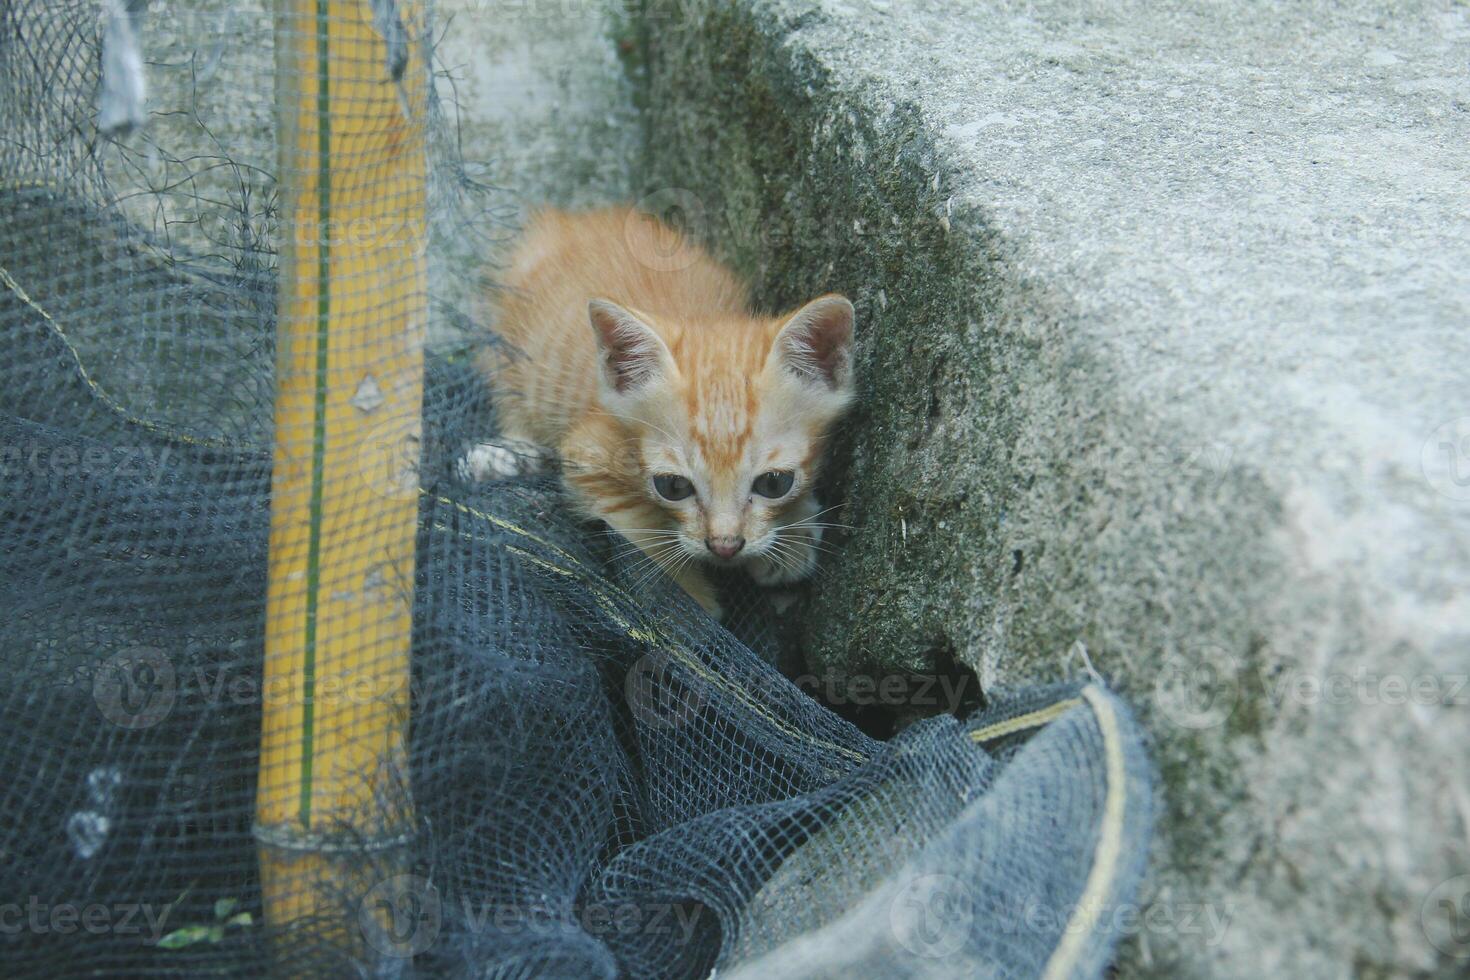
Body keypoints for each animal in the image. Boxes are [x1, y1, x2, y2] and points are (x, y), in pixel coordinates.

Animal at [470, 208, 858, 620]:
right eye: (673, 487)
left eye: (774, 483)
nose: (724, 545)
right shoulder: (587, 453)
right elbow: (639, 527)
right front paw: (687, 600)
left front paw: (793, 534)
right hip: (504, 347)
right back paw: (504, 456)